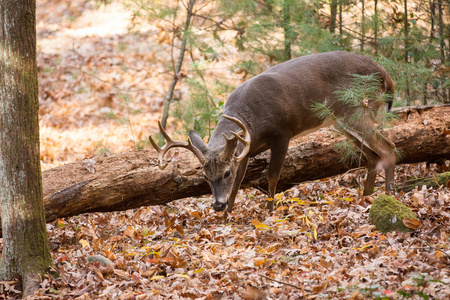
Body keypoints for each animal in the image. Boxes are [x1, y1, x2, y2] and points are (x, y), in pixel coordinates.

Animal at [151, 51, 398, 211]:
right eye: (204, 176)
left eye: (226, 172)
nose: (218, 206)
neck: (251, 120)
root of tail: (386, 75)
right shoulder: (246, 149)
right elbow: (239, 183)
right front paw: (229, 214)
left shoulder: (283, 133)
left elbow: (272, 175)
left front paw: (269, 212)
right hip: (340, 122)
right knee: (371, 155)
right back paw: (366, 197)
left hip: (355, 110)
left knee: (389, 147)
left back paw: (389, 196)